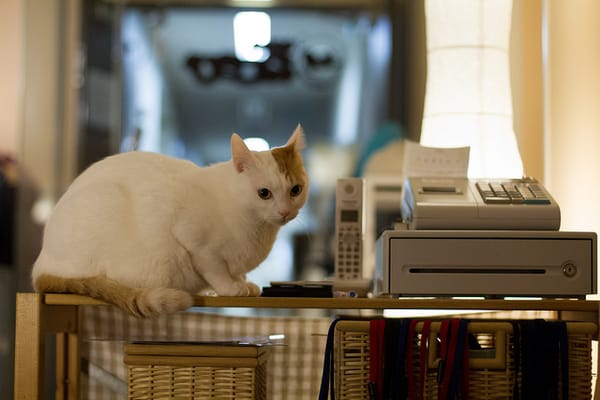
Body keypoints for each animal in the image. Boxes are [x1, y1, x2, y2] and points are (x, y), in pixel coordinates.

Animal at [32, 123, 310, 318]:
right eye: (264, 193)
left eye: (295, 190)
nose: (285, 212)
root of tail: (40, 266)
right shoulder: (193, 240)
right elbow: (216, 270)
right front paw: (230, 288)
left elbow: (236, 272)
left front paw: (243, 283)